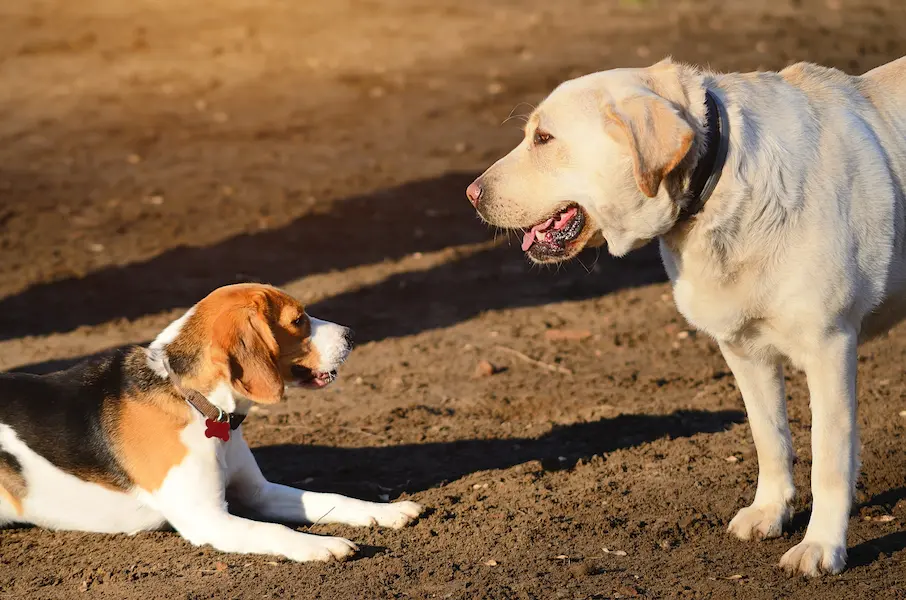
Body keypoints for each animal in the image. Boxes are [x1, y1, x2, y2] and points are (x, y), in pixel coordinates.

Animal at [0, 284, 424, 560]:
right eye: (298, 319)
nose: (352, 334)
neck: (195, 403)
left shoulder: (259, 493)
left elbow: (330, 498)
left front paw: (386, 511)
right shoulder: (207, 518)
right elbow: (271, 529)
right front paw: (321, 544)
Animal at [462, 57, 904, 576]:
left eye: (544, 139)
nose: (470, 193)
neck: (718, 187)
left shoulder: (830, 345)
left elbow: (830, 459)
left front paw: (822, 546)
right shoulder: (743, 350)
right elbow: (769, 436)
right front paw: (770, 512)